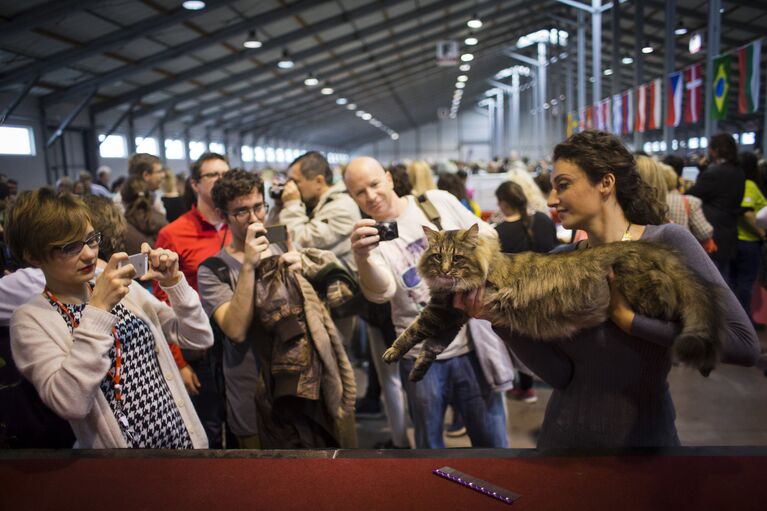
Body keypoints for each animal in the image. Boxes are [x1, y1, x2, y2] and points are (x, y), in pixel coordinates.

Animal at [384, 226, 728, 382]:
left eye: (456, 258)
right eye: (437, 256)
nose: (444, 271)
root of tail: (647, 248)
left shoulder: (443, 311)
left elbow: (414, 332)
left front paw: (392, 352)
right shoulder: (454, 318)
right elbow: (432, 347)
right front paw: (417, 372)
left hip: (646, 293)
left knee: (678, 309)